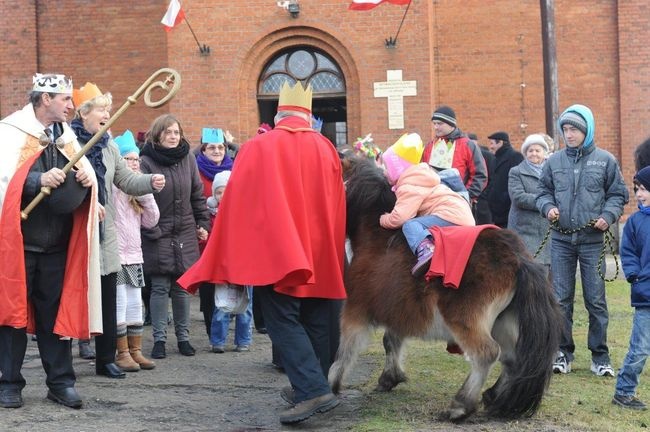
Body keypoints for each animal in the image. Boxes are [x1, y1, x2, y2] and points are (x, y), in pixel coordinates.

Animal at [330, 156, 560, 422]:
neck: (376, 238)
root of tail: (519, 259)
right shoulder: (398, 312)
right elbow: (391, 341)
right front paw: (390, 378)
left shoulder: (355, 311)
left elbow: (346, 348)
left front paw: (333, 382)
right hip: (505, 322)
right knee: (512, 359)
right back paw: (493, 397)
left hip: (465, 320)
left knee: (487, 354)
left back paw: (460, 406)